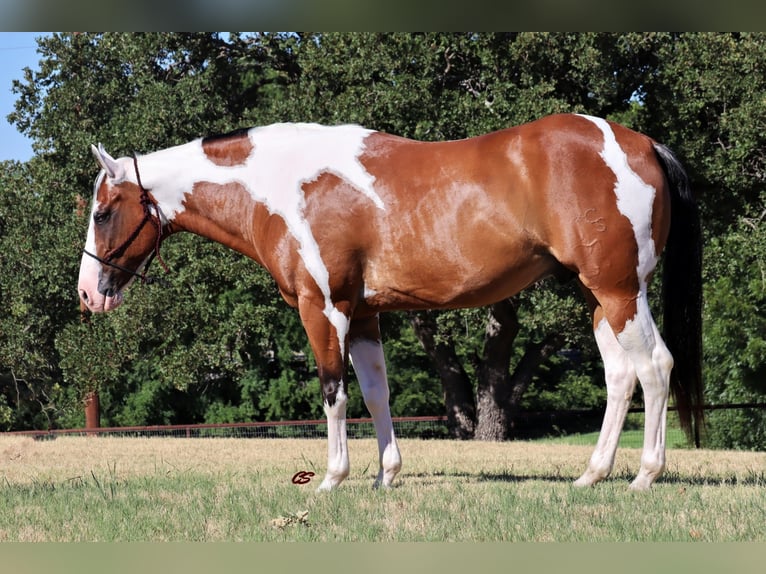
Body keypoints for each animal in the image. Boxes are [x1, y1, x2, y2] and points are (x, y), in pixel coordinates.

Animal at [76, 115, 704, 492]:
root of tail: (640, 143)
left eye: (103, 213)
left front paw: (332, 479)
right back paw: (591, 476)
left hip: (621, 291)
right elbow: (376, 393)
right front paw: (385, 476)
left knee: (655, 367)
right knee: (621, 376)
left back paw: (645, 476)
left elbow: (333, 391)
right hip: (598, 296)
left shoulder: (323, 308)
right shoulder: (364, 314)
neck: (283, 185)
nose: (87, 293)